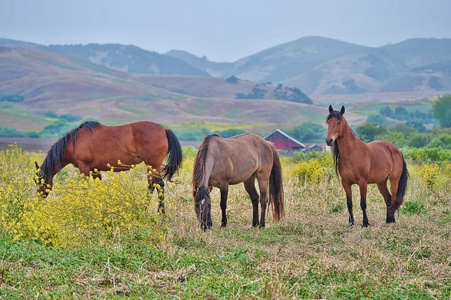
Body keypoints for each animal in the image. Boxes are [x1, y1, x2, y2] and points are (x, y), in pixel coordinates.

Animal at [34, 120, 184, 212]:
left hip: (152, 165)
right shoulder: (94, 170)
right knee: (152, 185)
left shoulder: (84, 168)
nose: (38, 199)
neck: (74, 142)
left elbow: (85, 189)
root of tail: (164, 130)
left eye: (39, 181)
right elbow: (100, 187)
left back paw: (158, 213)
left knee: (158, 184)